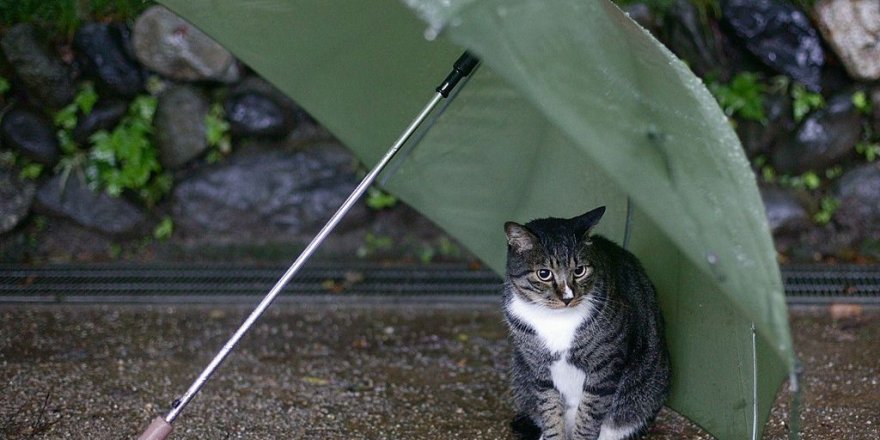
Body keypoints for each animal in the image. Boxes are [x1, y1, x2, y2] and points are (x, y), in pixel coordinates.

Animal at [502, 206, 668, 440]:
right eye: (544, 274)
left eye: (579, 270)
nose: (568, 298)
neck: (555, 319)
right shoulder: (538, 368)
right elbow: (550, 411)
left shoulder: (605, 366)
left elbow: (589, 415)